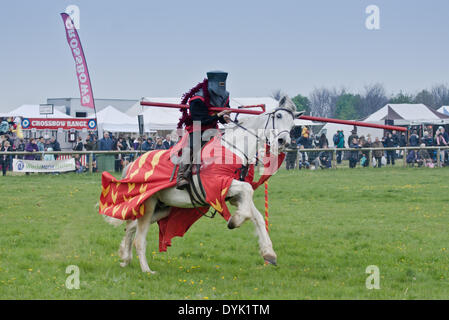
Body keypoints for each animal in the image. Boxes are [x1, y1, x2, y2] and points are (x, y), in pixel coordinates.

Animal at [104, 95, 300, 272]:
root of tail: (132, 164)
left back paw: (125, 259)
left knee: (131, 227)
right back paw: (146, 270)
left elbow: (257, 215)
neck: (233, 149)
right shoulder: (219, 185)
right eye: (279, 116)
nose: (283, 142)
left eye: (293, 124)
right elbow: (248, 192)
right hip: (149, 204)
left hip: (162, 208)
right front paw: (234, 220)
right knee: (139, 238)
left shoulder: (233, 195)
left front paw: (269, 253)